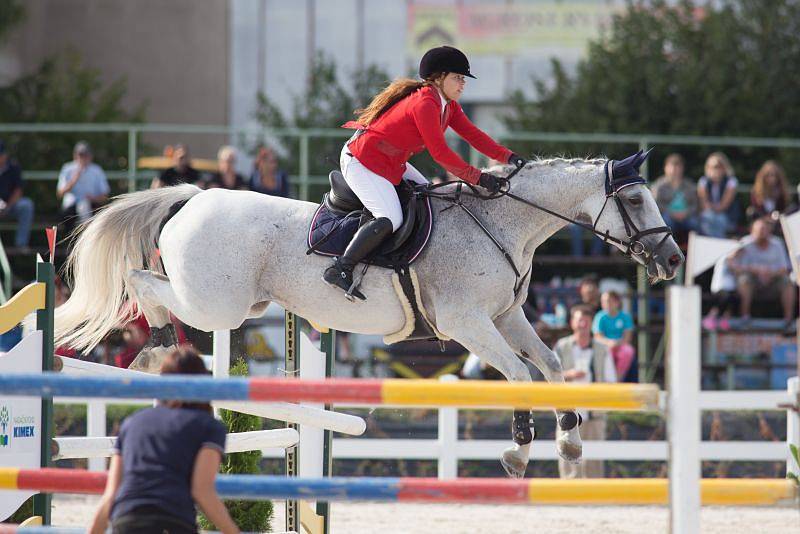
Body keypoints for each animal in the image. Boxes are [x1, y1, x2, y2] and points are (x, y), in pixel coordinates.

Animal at [54, 150, 680, 478]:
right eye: (633, 199)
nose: (673, 259)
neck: (501, 225)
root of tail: (194, 196)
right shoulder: (469, 324)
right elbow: (521, 376)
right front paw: (518, 451)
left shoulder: (507, 318)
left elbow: (549, 367)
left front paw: (570, 443)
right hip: (216, 304)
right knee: (142, 282)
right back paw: (158, 343)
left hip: (240, 303)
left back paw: (156, 347)